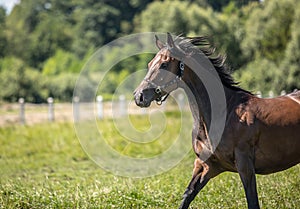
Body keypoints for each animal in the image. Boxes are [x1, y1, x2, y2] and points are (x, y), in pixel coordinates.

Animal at [134, 32, 300, 209]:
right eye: (150, 63)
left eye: (164, 64)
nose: (139, 96)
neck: (224, 113)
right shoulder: (206, 166)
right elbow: (187, 196)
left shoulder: (245, 166)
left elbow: (252, 202)